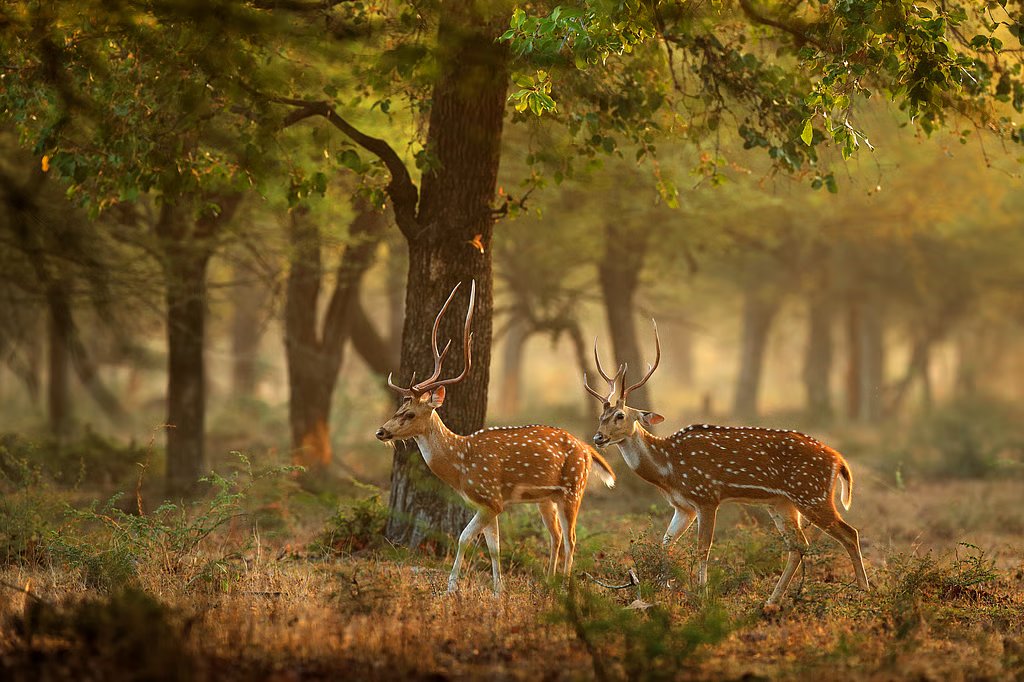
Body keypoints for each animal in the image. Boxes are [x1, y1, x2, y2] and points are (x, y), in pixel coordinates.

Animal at [376, 281, 616, 594]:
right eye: (399, 408)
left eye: (411, 413)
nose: (381, 431)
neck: (461, 465)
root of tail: (587, 448)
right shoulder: (487, 504)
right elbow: (494, 548)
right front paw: (498, 591)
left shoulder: (491, 498)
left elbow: (464, 538)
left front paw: (451, 588)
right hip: (546, 498)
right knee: (557, 536)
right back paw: (549, 581)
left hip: (574, 489)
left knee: (571, 538)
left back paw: (564, 586)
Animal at [584, 321, 869, 606]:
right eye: (601, 416)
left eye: (620, 415)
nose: (598, 437)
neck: (669, 469)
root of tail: (839, 461)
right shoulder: (683, 507)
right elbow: (666, 542)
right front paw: (662, 587)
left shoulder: (707, 496)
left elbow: (703, 548)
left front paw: (702, 593)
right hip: (782, 503)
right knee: (799, 545)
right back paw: (772, 600)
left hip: (811, 494)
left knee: (849, 533)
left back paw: (863, 592)